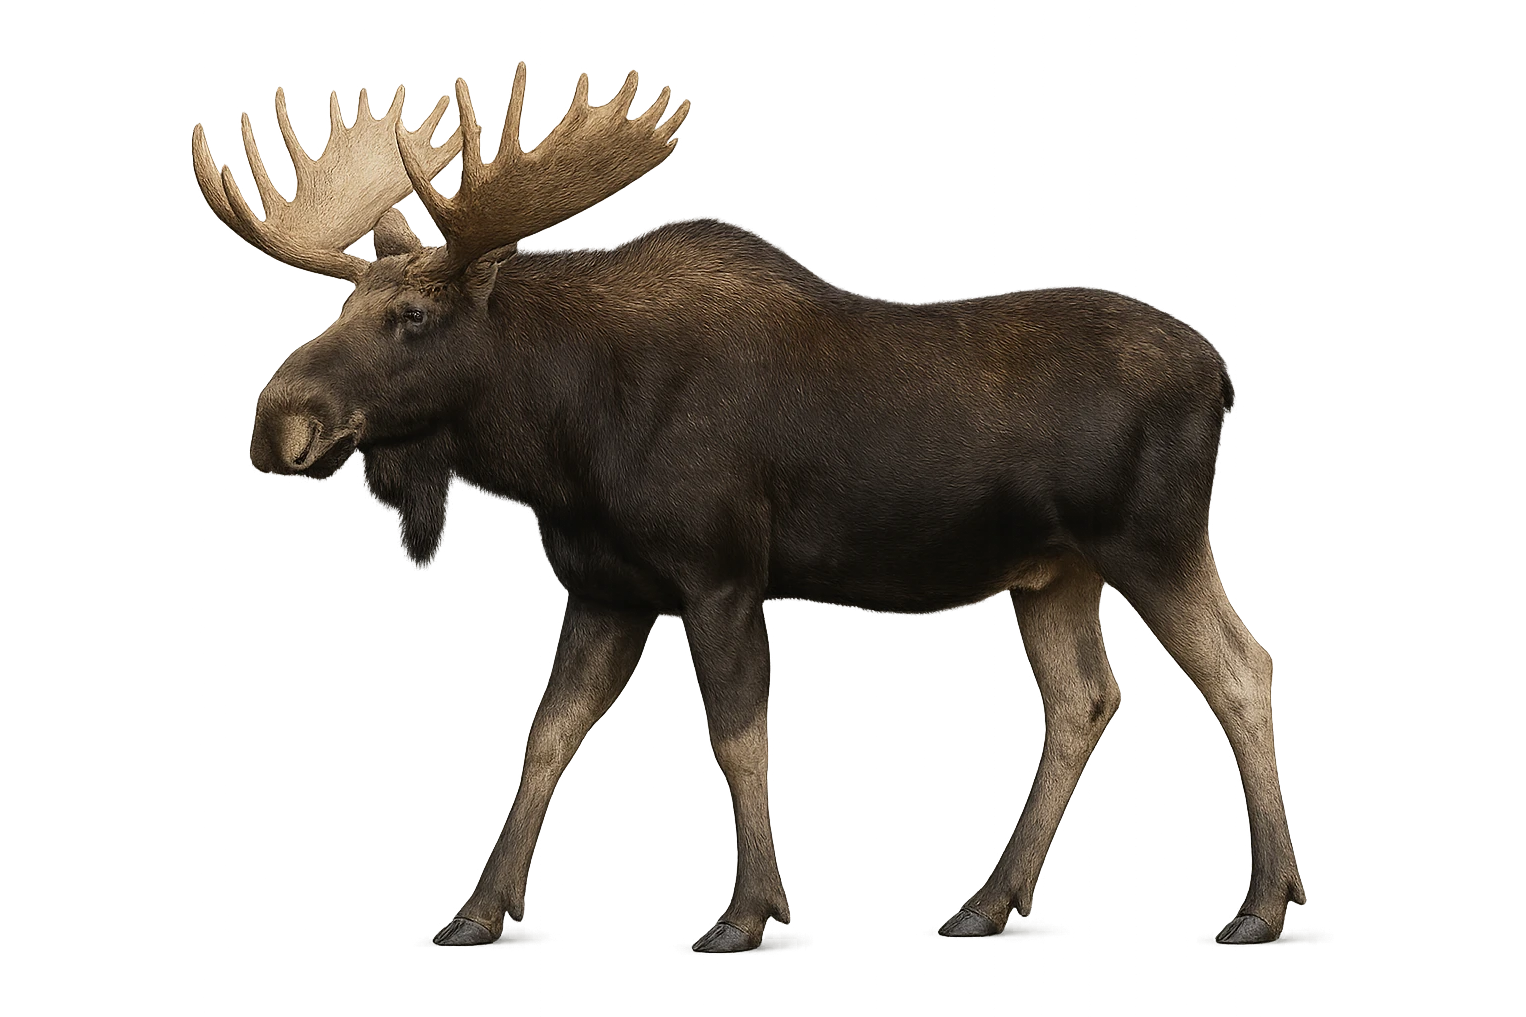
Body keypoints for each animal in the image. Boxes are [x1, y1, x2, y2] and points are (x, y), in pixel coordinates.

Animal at [191, 60, 1306, 951]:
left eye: (414, 314)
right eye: (342, 304)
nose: (277, 420)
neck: (559, 440)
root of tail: (1222, 374)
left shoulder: (721, 570)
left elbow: (735, 737)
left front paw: (748, 914)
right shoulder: (605, 587)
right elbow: (545, 738)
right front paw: (477, 910)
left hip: (1150, 540)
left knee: (1240, 667)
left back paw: (1260, 905)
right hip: (1051, 569)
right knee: (1083, 698)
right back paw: (987, 903)